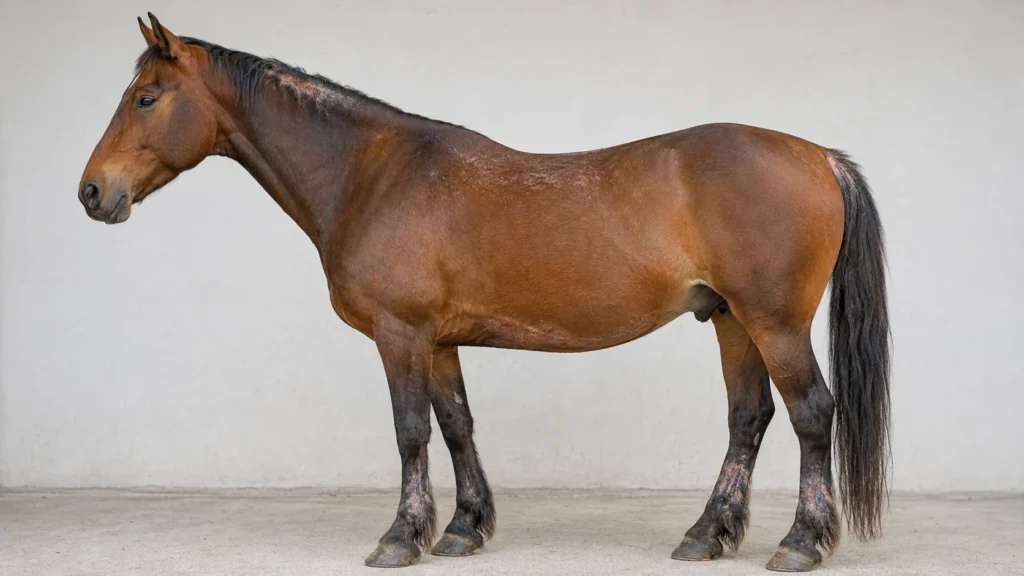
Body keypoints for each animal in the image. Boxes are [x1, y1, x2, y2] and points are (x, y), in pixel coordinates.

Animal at [78, 14, 891, 572]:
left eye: (146, 97)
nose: (92, 193)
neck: (372, 174)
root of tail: (820, 157)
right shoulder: (437, 341)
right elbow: (457, 425)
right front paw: (463, 529)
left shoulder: (400, 335)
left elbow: (410, 432)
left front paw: (399, 537)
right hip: (729, 320)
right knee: (748, 419)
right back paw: (705, 534)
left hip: (773, 321)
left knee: (811, 414)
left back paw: (800, 542)